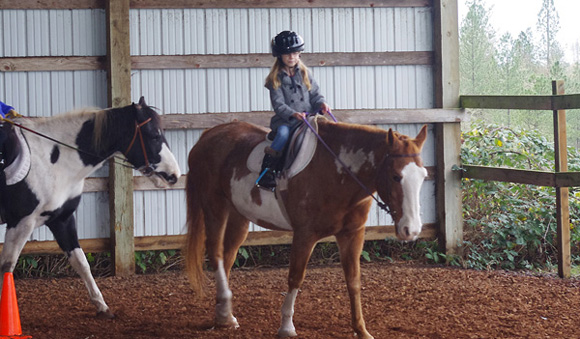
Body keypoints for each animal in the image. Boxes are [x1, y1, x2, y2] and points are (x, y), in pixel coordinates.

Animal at [0, 97, 180, 318]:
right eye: (154, 135)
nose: (174, 175)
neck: (53, 160)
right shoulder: (21, 222)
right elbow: (7, 266)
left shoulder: (62, 220)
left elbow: (81, 262)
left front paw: (102, 305)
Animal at [185, 118, 426, 338]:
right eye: (396, 176)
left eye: (423, 176)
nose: (411, 230)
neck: (337, 172)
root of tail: (208, 135)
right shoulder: (305, 234)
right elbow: (295, 277)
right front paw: (286, 327)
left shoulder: (352, 234)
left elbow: (354, 280)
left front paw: (361, 330)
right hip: (214, 206)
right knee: (216, 253)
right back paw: (225, 311)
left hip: (239, 215)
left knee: (228, 256)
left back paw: (224, 315)